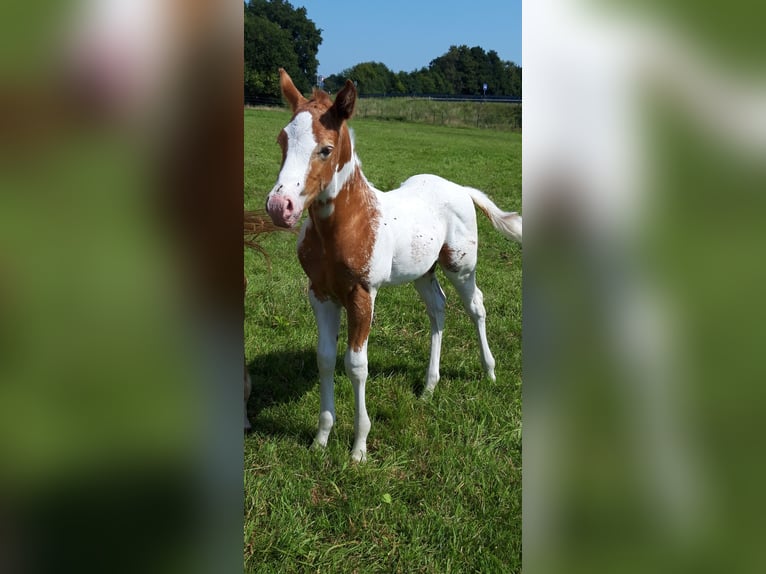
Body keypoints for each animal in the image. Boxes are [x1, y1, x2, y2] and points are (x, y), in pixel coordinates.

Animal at [265, 69, 522, 461]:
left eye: (325, 149)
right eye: (282, 140)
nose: (280, 207)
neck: (347, 224)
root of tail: (460, 188)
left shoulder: (362, 295)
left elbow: (356, 366)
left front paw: (358, 448)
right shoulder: (320, 294)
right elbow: (325, 358)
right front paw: (320, 438)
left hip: (460, 266)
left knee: (476, 306)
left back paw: (489, 372)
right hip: (422, 272)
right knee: (438, 309)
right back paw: (429, 386)